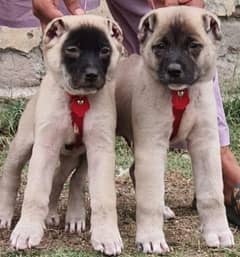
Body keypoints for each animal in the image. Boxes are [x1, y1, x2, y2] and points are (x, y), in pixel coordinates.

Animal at [0, 15, 124, 255]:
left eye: (105, 50)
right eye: (72, 49)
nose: (92, 75)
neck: (78, 99)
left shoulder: (101, 150)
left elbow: (104, 198)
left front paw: (106, 235)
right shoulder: (45, 148)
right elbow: (35, 193)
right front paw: (27, 231)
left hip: (75, 156)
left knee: (66, 178)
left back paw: (69, 215)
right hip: (23, 145)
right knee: (12, 174)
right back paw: (5, 213)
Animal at [115, 7, 234, 253]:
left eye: (194, 45)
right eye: (160, 46)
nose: (174, 70)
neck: (179, 93)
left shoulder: (205, 144)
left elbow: (212, 193)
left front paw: (218, 232)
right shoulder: (151, 145)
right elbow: (150, 197)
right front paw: (150, 239)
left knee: (134, 171)